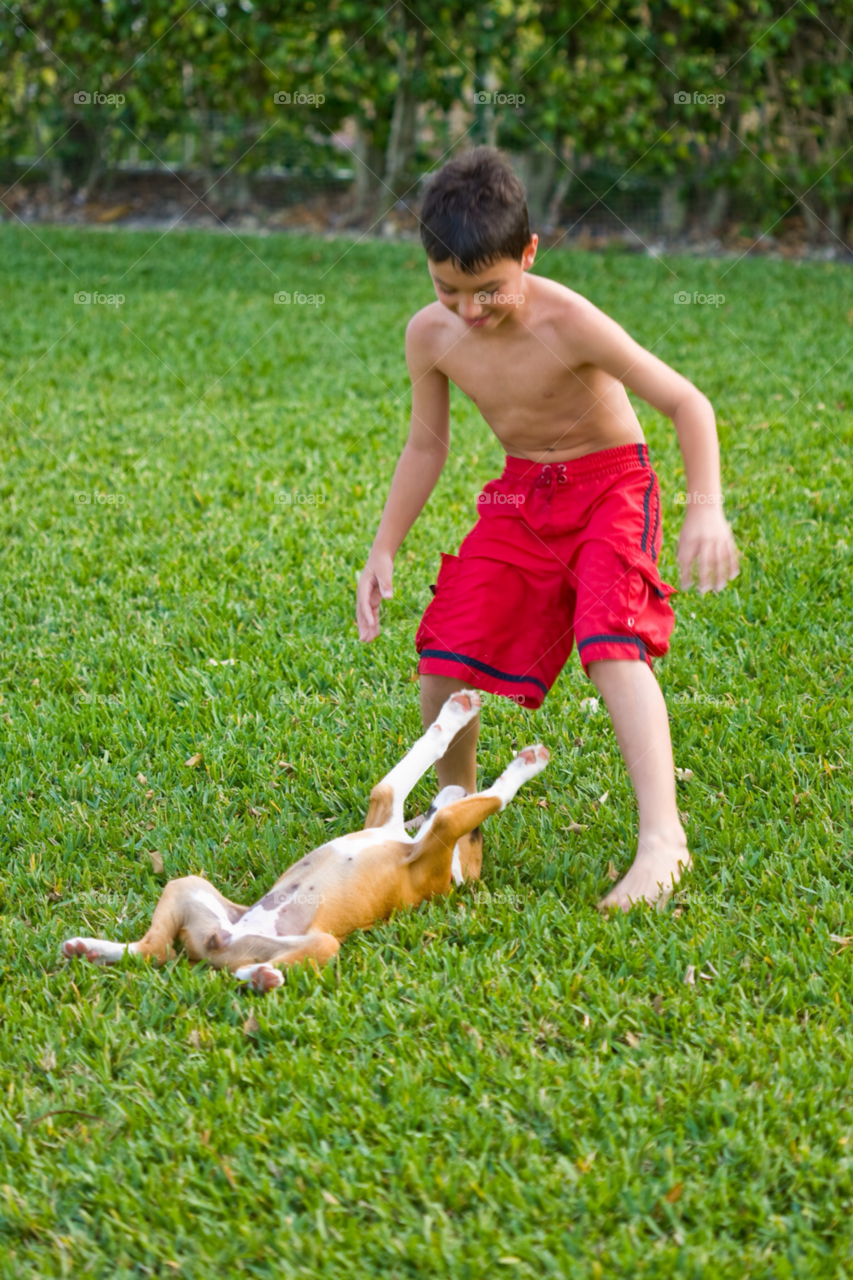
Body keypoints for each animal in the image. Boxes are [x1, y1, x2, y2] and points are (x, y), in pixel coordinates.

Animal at [63, 696, 548, 993]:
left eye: (475, 838)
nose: (458, 789)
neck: (414, 842)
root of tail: (221, 943)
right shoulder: (389, 805)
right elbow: (416, 761)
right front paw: (456, 713)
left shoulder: (437, 841)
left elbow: (479, 803)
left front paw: (525, 765)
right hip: (188, 887)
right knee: (153, 952)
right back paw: (90, 948)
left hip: (319, 943)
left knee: (220, 963)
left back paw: (259, 977)